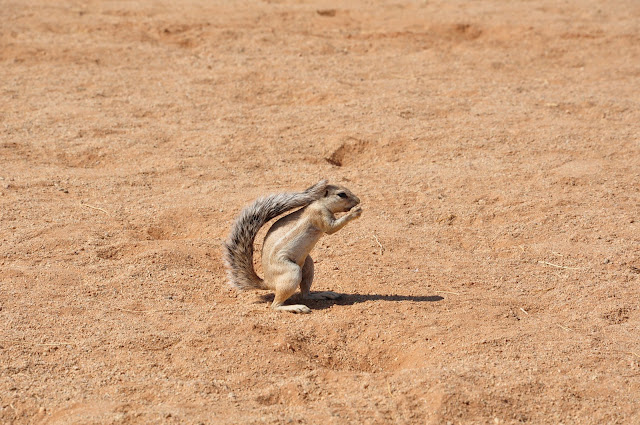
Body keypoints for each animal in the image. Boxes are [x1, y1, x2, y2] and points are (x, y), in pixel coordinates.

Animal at [221, 178, 360, 312]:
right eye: (342, 194)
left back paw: (324, 294)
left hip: (308, 266)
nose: (358, 201)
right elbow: (331, 229)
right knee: (275, 306)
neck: (320, 203)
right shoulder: (319, 215)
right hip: (292, 272)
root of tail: (268, 282)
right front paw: (355, 212)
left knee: (305, 294)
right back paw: (297, 307)